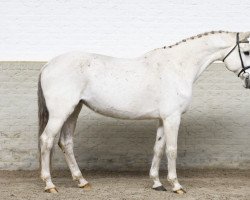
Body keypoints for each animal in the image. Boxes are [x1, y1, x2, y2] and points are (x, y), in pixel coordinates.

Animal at [38, 30, 250, 194]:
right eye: (246, 51)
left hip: (74, 110)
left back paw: (82, 181)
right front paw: (176, 185)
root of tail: (48, 64)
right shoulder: (173, 118)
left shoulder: (163, 119)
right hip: (60, 113)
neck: (177, 67)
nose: (248, 81)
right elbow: (172, 150)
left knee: (66, 143)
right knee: (47, 140)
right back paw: (50, 185)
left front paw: (157, 183)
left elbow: (158, 149)